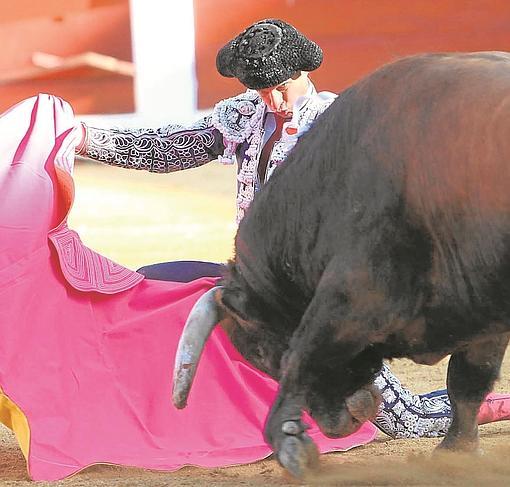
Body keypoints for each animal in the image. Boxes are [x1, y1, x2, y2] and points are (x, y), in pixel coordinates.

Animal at [173, 52, 510, 476]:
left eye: (260, 352)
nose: (346, 417)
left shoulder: (358, 289)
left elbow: (302, 354)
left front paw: (290, 444)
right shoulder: (481, 307)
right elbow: (468, 379)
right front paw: (456, 453)